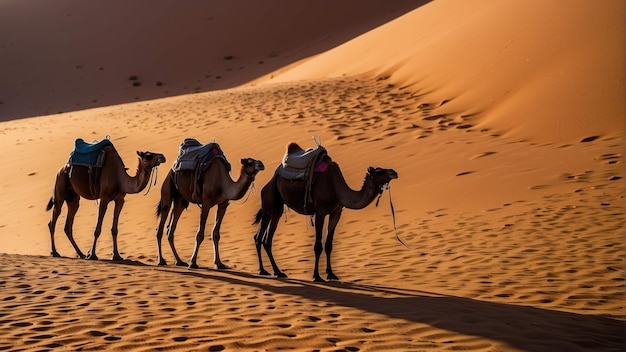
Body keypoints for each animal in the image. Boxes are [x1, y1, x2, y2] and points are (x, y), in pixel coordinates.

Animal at [156, 138, 266, 270]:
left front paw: (219, 263)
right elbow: (200, 234)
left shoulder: (223, 204)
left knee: (170, 230)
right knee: (161, 225)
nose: (261, 164)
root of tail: (172, 169)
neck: (222, 183)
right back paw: (161, 260)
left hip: (180, 200)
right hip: (167, 187)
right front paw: (193, 262)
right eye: (249, 162)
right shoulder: (206, 202)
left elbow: (216, 234)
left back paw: (179, 261)